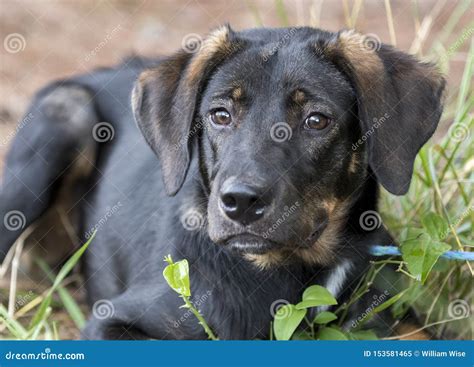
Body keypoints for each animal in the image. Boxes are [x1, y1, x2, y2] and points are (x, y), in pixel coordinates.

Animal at [0, 25, 444, 340]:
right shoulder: (113, 321)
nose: (240, 201)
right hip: (64, 115)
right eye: (220, 115)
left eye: (317, 120)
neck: (293, 273)